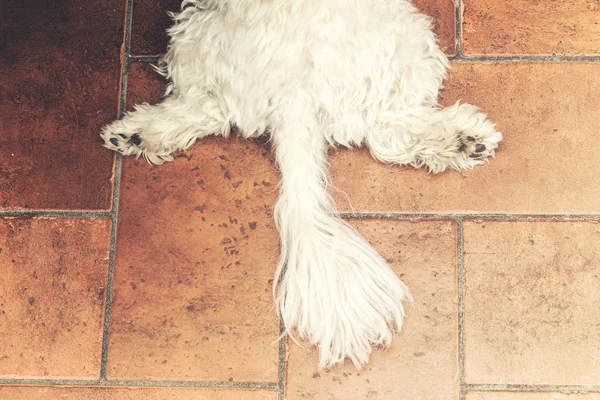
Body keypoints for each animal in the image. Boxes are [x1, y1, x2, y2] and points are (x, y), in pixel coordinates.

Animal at [102, 0, 502, 370]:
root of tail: (295, 90)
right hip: (406, 39)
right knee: (388, 129)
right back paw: (462, 138)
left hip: (200, 40)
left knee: (210, 109)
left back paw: (140, 134)